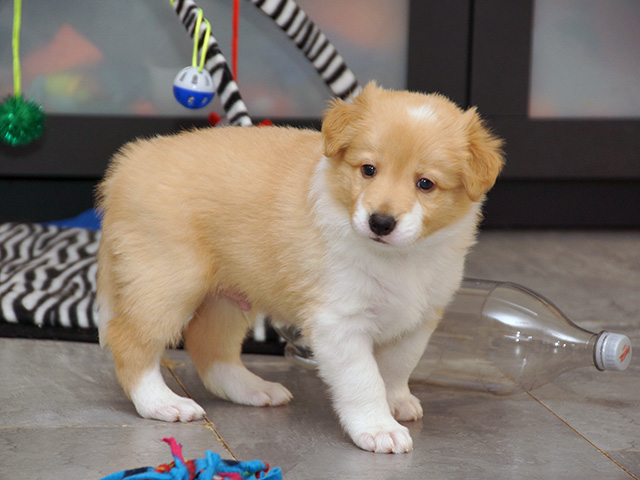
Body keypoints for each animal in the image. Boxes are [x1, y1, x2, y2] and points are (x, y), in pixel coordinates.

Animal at [96, 83, 504, 454]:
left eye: (425, 184)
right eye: (368, 170)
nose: (381, 222)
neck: (399, 258)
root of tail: (128, 163)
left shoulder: (419, 318)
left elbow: (396, 367)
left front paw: (396, 402)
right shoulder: (339, 322)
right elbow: (364, 379)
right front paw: (378, 428)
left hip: (227, 297)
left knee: (209, 347)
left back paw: (254, 389)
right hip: (167, 281)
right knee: (129, 340)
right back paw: (162, 403)